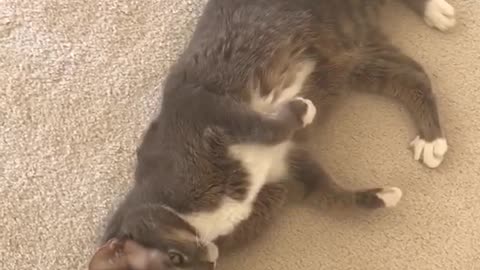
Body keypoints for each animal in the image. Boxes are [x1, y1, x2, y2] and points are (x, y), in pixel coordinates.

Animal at [87, 0, 454, 268]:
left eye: (175, 258)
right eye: (184, 265)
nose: (209, 257)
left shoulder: (201, 105)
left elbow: (263, 126)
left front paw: (301, 110)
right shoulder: (288, 175)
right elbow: (329, 193)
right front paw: (381, 196)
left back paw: (437, 12)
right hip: (356, 53)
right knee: (411, 75)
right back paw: (432, 138)